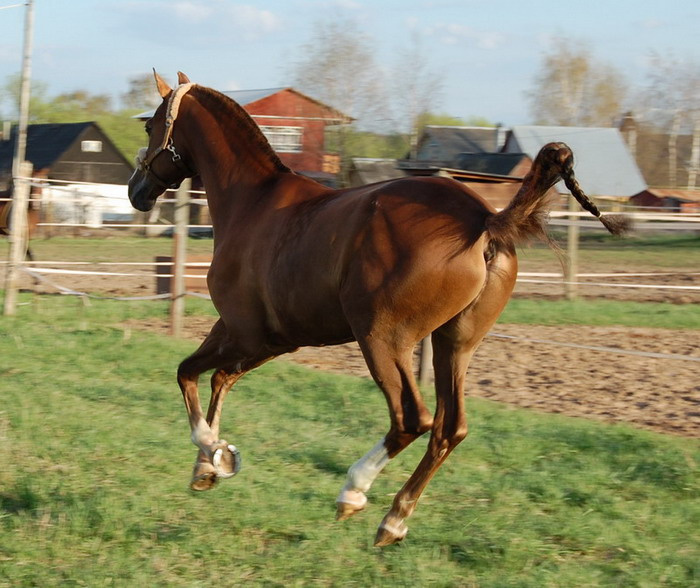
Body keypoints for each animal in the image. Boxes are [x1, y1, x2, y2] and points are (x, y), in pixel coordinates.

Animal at [128, 71, 629, 546]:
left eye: (150, 125)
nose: (137, 191)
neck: (253, 204)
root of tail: (485, 220)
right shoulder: (266, 339)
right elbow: (215, 379)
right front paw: (209, 466)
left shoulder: (246, 334)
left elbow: (189, 373)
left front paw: (215, 453)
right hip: (454, 345)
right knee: (450, 428)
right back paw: (394, 520)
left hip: (382, 340)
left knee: (412, 418)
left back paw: (353, 492)